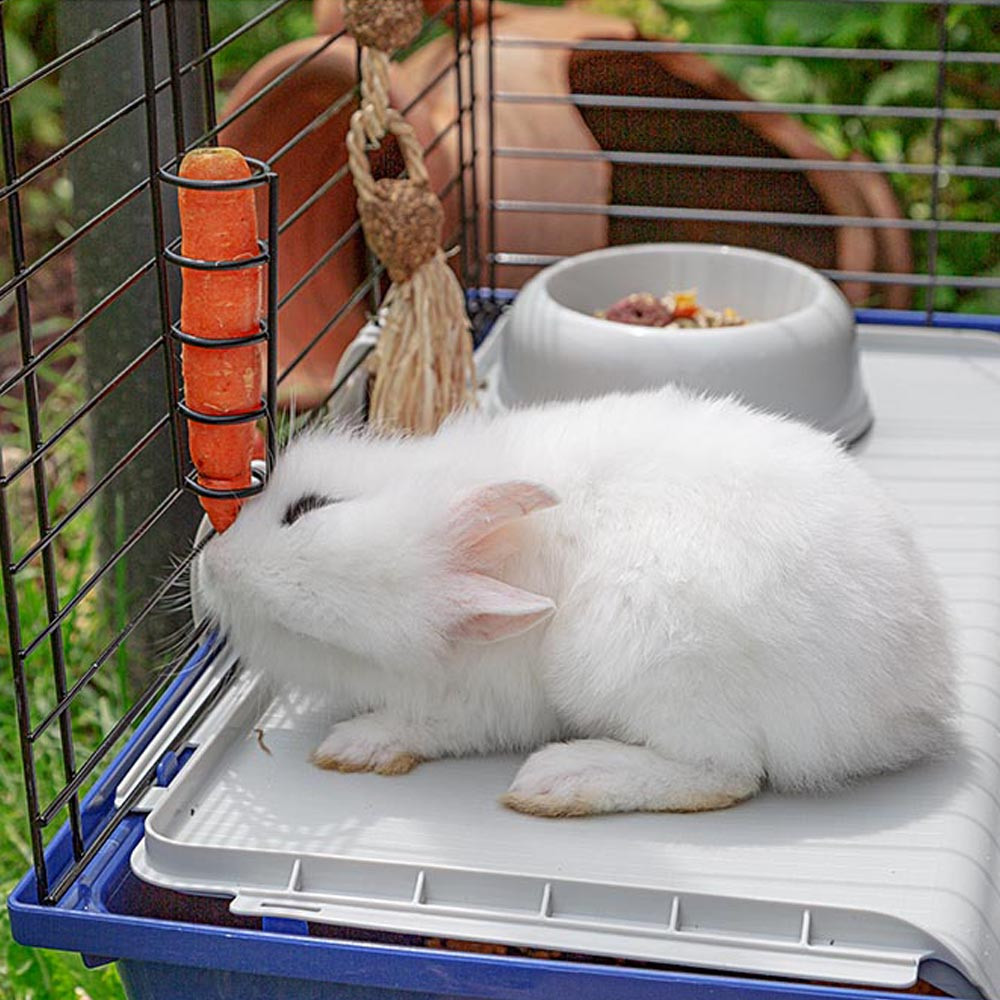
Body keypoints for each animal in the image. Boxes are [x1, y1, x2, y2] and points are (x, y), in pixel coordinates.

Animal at [194, 385, 956, 817]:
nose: (209, 568)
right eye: (310, 638)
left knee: (726, 774)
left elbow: (428, 725)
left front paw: (354, 745)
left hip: (644, 661)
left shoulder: (486, 703)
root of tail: (912, 701)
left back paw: (561, 781)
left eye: (308, 509)